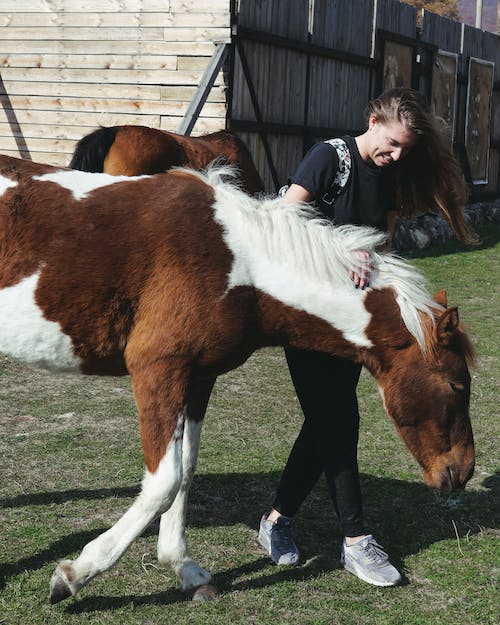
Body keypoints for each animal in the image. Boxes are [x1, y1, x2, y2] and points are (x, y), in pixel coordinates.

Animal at [0, 154, 476, 604]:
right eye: (457, 385)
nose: (462, 471)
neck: (238, 265)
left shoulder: (197, 378)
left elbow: (186, 471)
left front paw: (185, 570)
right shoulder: (158, 369)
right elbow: (162, 483)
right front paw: (73, 576)